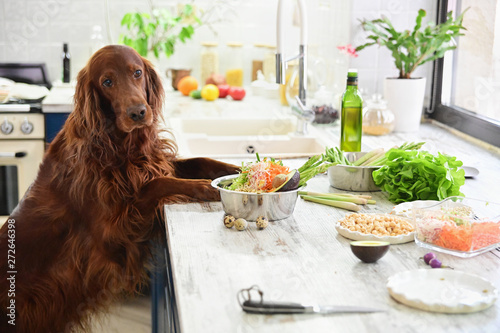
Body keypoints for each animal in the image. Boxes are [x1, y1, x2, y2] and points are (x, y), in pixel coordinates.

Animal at [0, 44, 238, 332]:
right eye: (107, 82)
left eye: (137, 73)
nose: (138, 113)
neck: (118, 144)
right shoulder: (112, 232)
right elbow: (157, 184)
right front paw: (205, 187)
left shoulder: (156, 164)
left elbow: (200, 161)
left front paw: (241, 170)